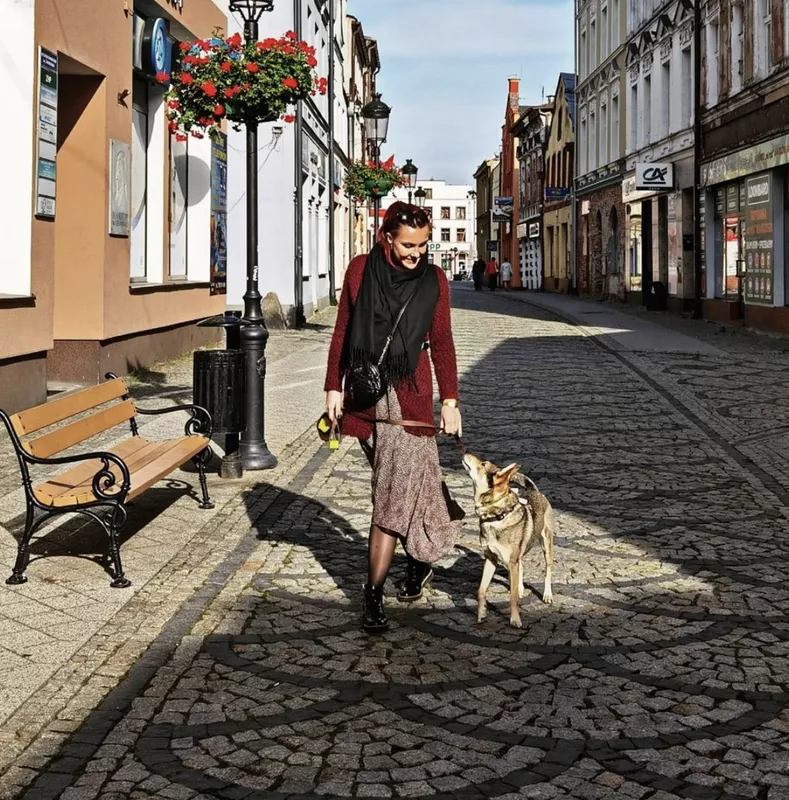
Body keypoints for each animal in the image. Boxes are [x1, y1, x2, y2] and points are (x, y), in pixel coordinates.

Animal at [462, 454, 556, 628]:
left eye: (483, 464)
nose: (467, 453)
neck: (495, 516)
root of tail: (534, 491)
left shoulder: (511, 562)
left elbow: (512, 597)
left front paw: (515, 619)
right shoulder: (490, 559)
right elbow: (481, 590)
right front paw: (481, 614)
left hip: (546, 544)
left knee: (547, 570)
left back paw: (547, 594)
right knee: (521, 566)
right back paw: (520, 587)